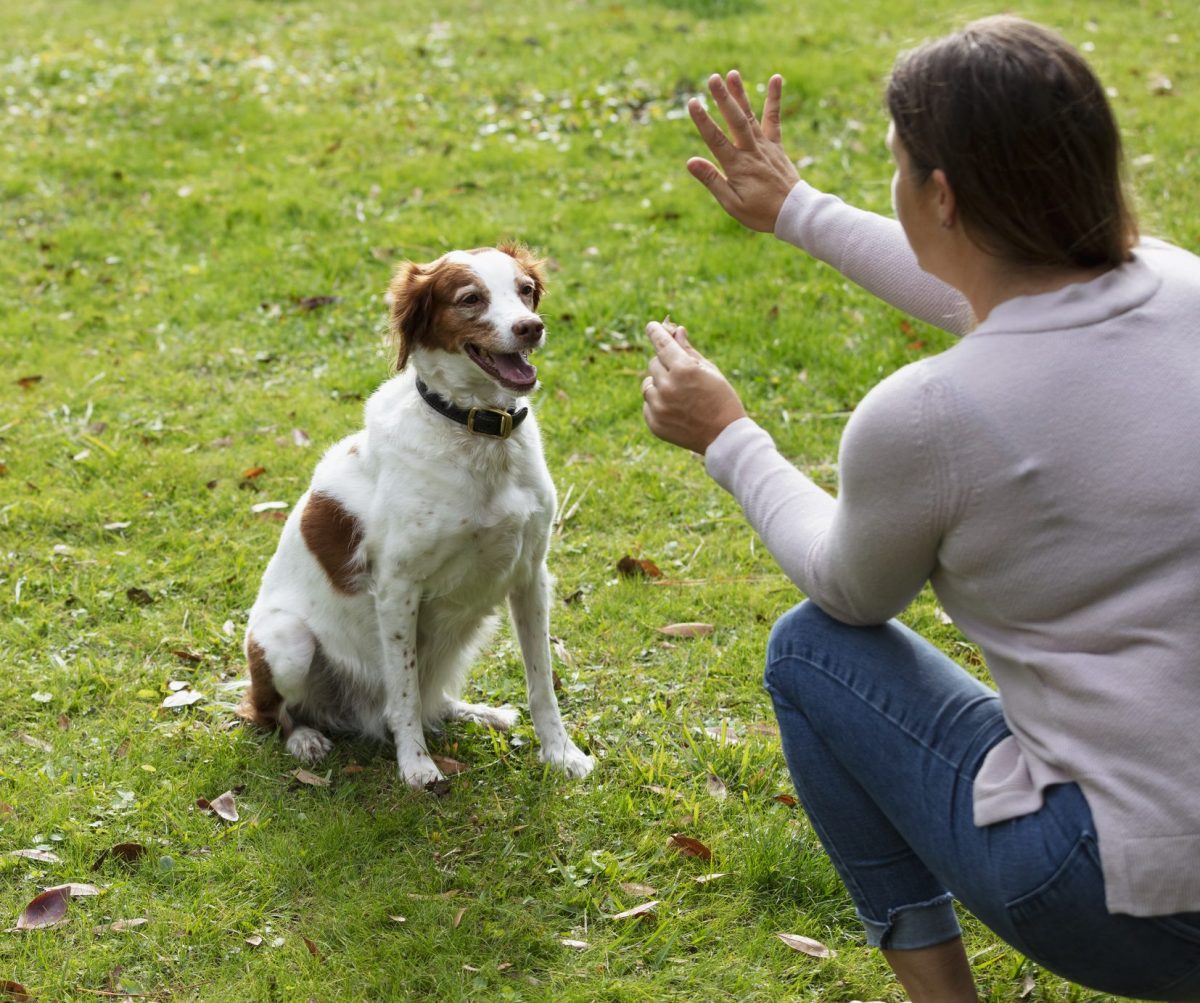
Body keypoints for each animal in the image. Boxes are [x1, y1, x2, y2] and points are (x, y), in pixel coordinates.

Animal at [242, 244, 595, 791]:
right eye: (470, 298)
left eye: (525, 290)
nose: (530, 327)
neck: (477, 430)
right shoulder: (397, 588)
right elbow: (403, 692)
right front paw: (416, 766)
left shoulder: (531, 575)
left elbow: (542, 684)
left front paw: (560, 753)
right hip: (287, 642)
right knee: (271, 713)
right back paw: (305, 738)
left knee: (434, 697)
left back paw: (477, 712)